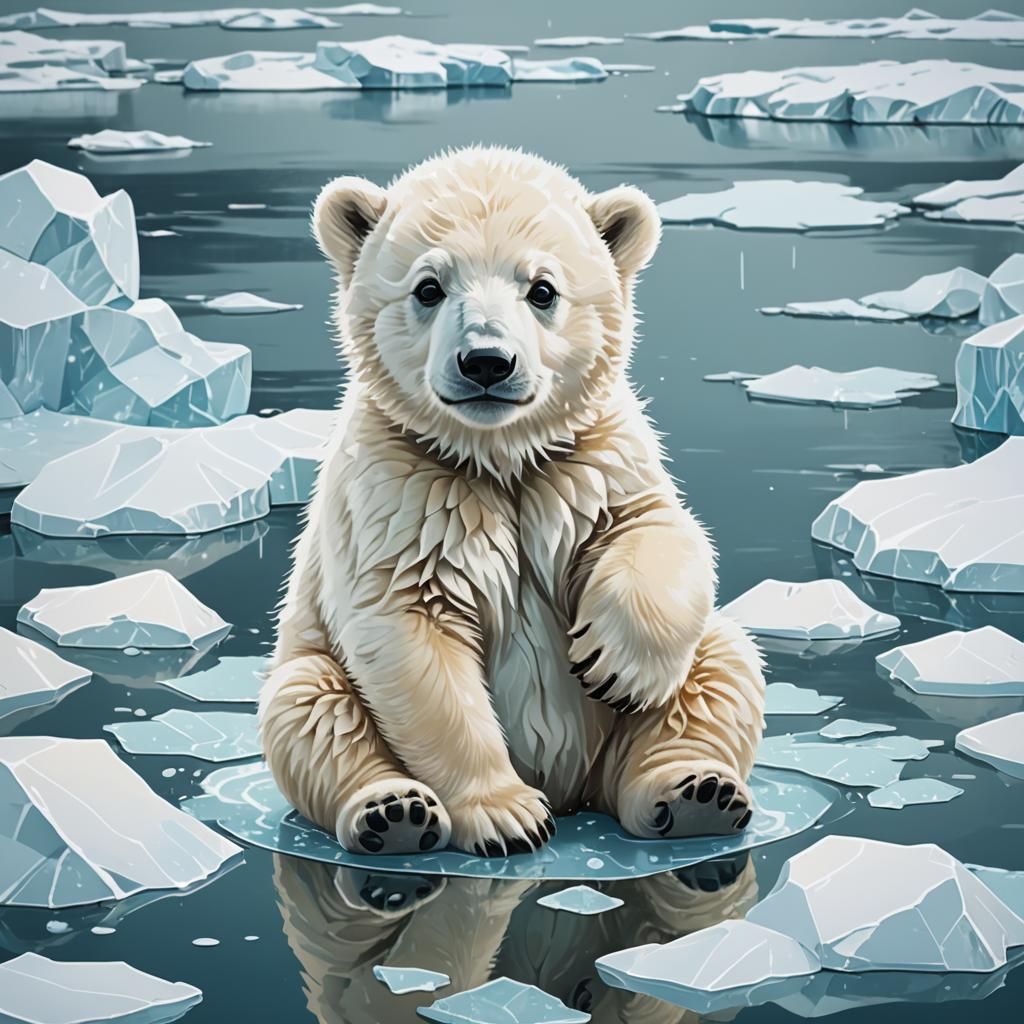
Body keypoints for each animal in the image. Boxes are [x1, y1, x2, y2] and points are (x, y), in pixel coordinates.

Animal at [260, 146, 765, 858]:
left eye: (543, 289)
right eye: (428, 287)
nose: (487, 362)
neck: (497, 457)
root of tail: (577, 789)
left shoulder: (589, 461)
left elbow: (657, 527)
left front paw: (614, 664)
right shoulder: (400, 489)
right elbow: (413, 634)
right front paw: (507, 815)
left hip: (652, 712)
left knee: (720, 667)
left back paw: (696, 792)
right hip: (314, 664)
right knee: (312, 709)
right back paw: (393, 811)